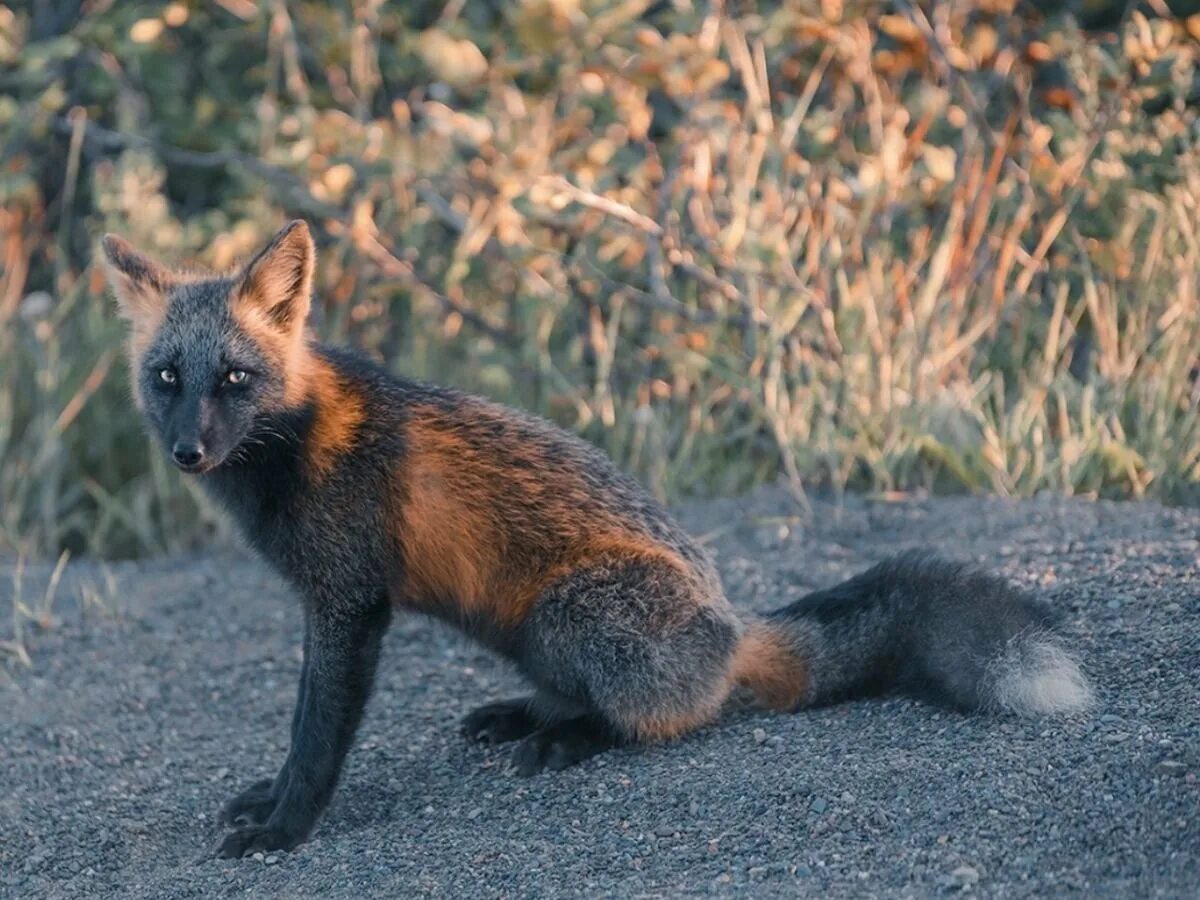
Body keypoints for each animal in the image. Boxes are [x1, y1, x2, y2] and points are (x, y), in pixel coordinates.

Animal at [103, 222, 1099, 864]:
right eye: (168, 377)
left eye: (236, 378)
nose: (189, 451)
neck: (300, 443)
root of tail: (734, 629)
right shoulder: (335, 604)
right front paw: (271, 804)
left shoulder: (349, 606)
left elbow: (315, 736)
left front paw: (285, 828)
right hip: (524, 628)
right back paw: (524, 715)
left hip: (569, 612)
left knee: (660, 719)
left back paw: (569, 738)